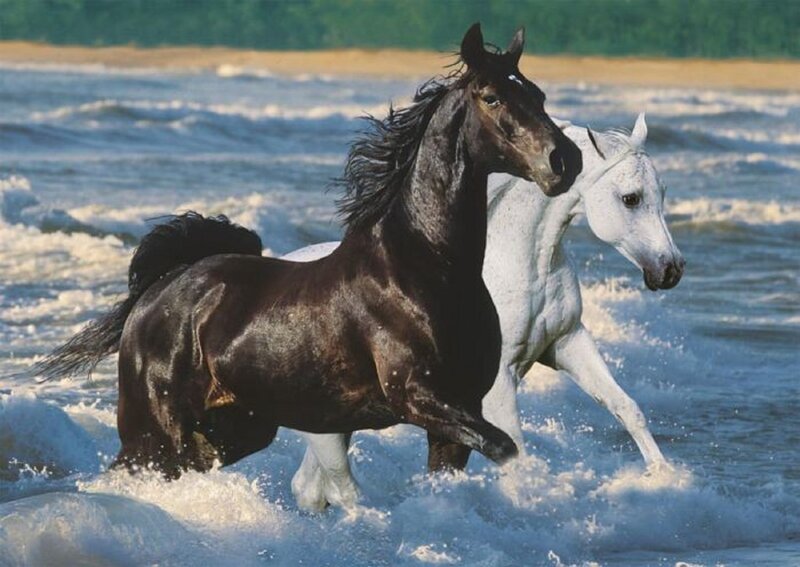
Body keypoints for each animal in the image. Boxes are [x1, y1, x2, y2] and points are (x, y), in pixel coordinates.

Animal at [35, 24, 582, 479]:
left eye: (537, 93)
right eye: (492, 97)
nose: (565, 160)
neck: (430, 267)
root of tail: (158, 293)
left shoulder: (455, 415)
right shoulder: (420, 397)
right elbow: (507, 448)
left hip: (236, 427)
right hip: (154, 431)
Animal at [286, 114, 684, 511]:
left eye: (663, 192)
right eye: (630, 198)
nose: (671, 270)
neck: (518, 266)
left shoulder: (567, 342)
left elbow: (626, 407)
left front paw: (666, 478)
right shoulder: (498, 382)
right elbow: (516, 451)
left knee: (311, 484)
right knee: (331, 483)